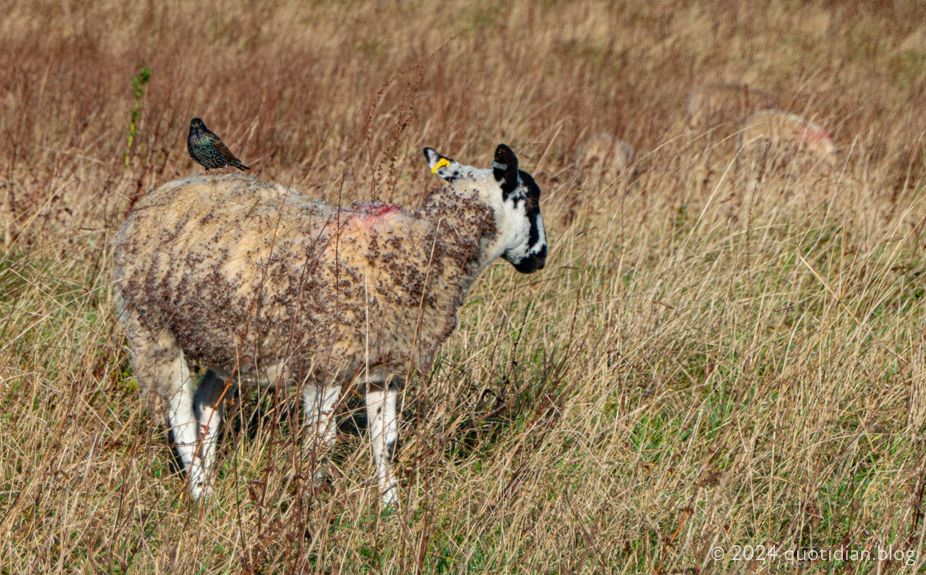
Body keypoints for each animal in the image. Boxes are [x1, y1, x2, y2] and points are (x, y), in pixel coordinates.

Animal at [114, 143, 552, 504]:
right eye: (531, 199)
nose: (541, 258)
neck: (424, 249)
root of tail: (166, 190)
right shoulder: (323, 366)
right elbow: (321, 444)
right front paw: (312, 506)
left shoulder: (382, 370)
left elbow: (384, 441)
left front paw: (389, 507)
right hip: (151, 327)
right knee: (180, 415)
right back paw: (200, 491)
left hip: (228, 339)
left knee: (207, 403)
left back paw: (209, 476)